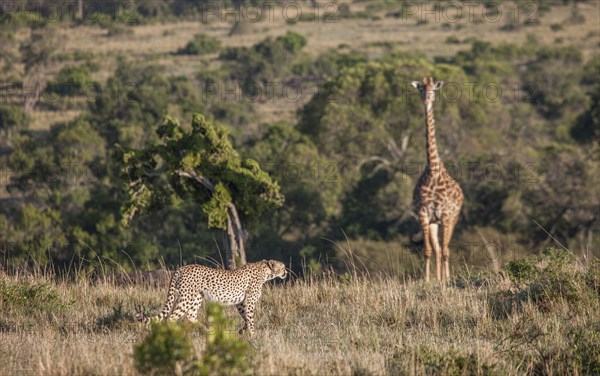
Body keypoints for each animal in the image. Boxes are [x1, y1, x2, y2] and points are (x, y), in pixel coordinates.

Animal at [136, 260, 286, 336]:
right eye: (282, 266)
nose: (286, 271)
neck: (266, 271)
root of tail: (182, 267)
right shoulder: (248, 302)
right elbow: (251, 319)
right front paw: (253, 335)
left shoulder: (240, 303)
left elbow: (246, 319)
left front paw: (242, 331)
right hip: (187, 298)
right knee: (171, 317)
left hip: (196, 297)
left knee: (190, 315)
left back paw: (208, 332)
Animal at [412, 77, 464, 282]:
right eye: (420, 89)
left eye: (433, 90)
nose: (426, 101)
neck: (433, 170)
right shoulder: (424, 215)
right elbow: (428, 251)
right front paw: (427, 280)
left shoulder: (445, 216)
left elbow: (444, 251)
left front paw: (444, 281)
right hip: (435, 222)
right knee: (438, 249)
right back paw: (440, 278)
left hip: (452, 219)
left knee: (446, 249)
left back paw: (446, 279)